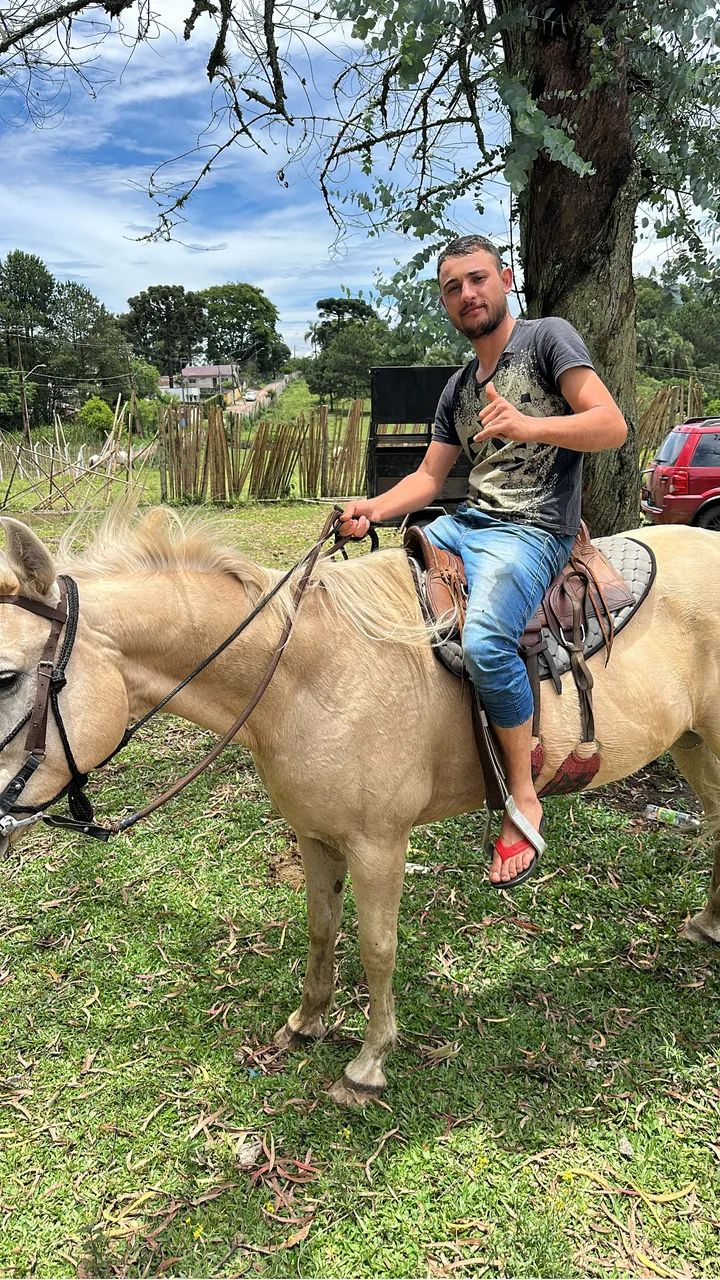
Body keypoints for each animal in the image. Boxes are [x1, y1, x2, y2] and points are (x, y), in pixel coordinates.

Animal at [0, 509, 718, 1108]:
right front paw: (307, 1023)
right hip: (692, 747)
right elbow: (322, 929)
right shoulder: (316, 837)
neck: (306, 676)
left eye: (6, 676)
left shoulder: (380, 845)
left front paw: (368, 1065)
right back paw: (707, 925)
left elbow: (377, 948)